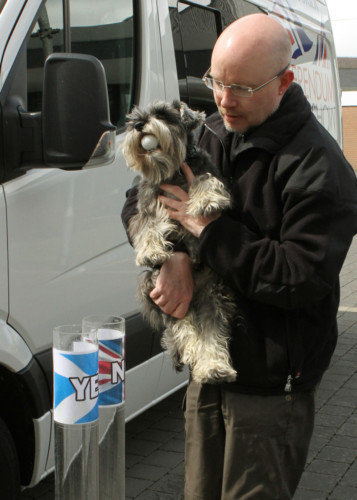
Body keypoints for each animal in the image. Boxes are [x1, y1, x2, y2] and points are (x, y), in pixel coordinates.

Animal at [121, 100, 236, 382]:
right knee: (184, 327)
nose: (139, 125)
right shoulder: (146, 204)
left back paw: (215, 367)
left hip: (212, 296)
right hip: (152, 285)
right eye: (134, 116)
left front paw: (207, 200)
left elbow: (205, 182)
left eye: (162, 114)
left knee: (211, 331)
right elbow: (148, 226)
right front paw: (151, 252)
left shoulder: (205, 172)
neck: (171, 171)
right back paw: (195, 352)